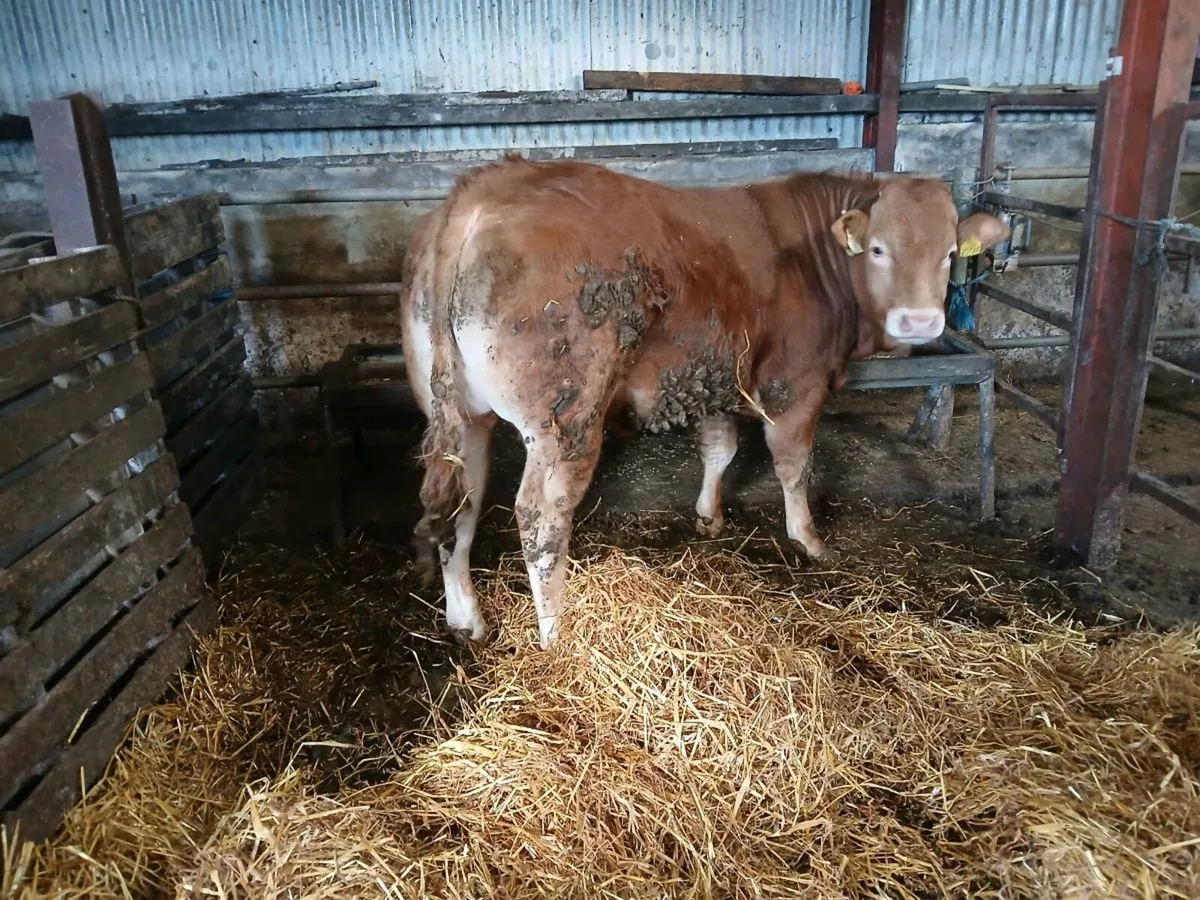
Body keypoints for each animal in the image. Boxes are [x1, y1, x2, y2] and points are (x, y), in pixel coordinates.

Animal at [400, 156, 1009, 648]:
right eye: (879, 249)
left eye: (950, 253)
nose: (920, 322)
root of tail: (479, 192)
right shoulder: (795, 385)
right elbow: (794, 466)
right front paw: (809, 539)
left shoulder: (720, 375)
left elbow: (719, 449)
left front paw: (709, 517)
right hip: (566, 422)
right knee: (540, 516)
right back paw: (558, 634)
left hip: (460, 416)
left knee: (461, 504)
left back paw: (467, 620)